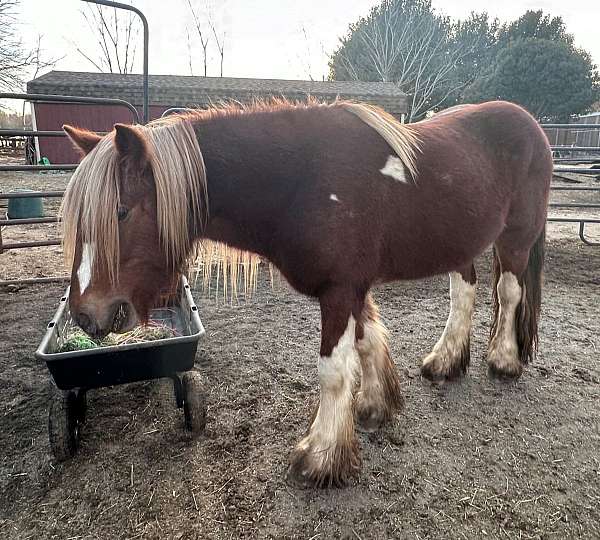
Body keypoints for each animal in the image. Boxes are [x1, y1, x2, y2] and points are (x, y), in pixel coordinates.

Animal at [58, 98, 552, 490]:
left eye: (121, 212)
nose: (85, 314)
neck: (300, 180)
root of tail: (528, 121)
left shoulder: (340, 289)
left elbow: (333, 370)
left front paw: (321, 456)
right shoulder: (351, 288)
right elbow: (368, 342)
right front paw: (374, 406)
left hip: (516, 237)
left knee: (509, 292)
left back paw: (503, 360)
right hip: (459, 244)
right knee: (463, 291)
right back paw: (446, 362)